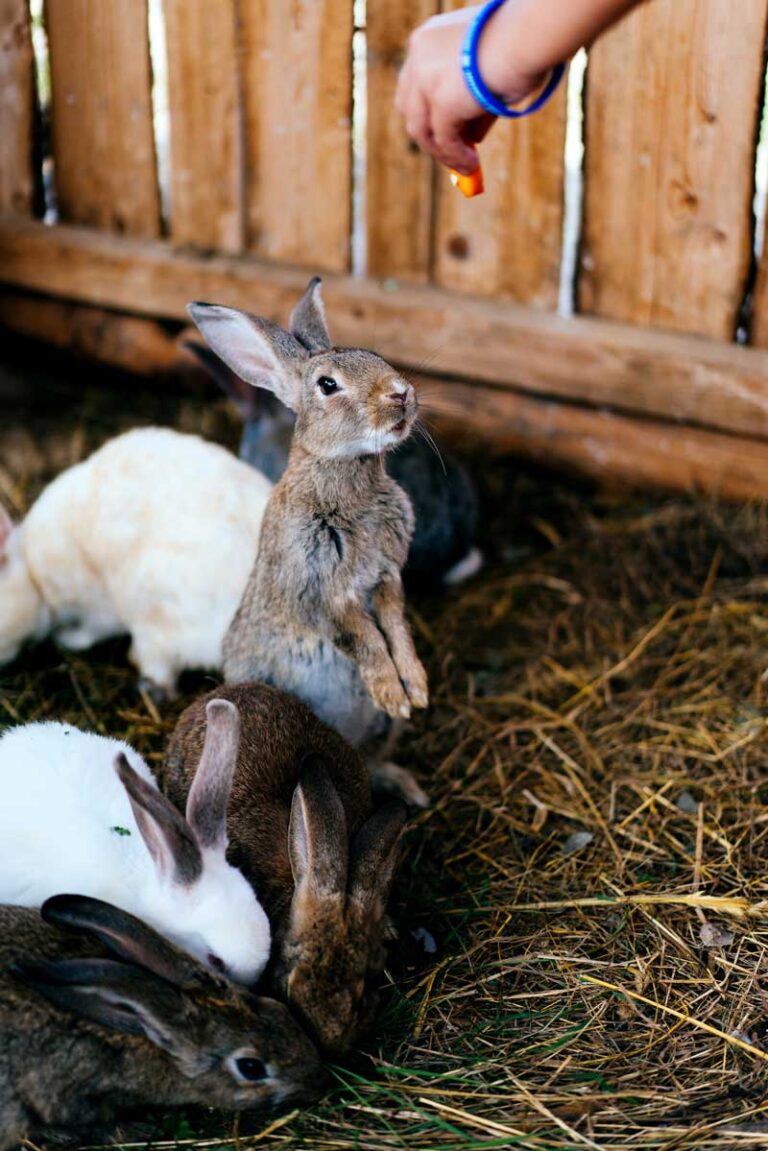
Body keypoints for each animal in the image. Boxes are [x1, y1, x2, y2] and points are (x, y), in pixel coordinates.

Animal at [188, 277, 430, 752]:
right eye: (328, 384)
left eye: (374, 355)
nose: (400, 393)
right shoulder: (320, 591)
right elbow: (363, 638)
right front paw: (391, 693)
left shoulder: (388, 576)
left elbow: (396, 624)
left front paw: (417, 686)